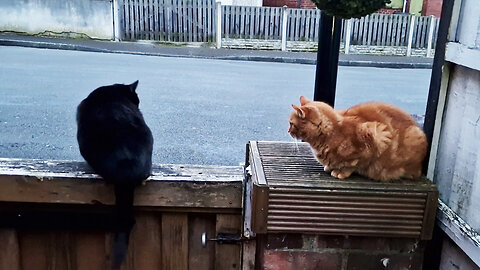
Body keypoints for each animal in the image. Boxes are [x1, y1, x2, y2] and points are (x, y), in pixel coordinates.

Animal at [288, 96, 428, 180]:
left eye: (291, 124)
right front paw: (330, 167)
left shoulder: (377, 136)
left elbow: (353, 164)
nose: (288, 131)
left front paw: (340, 171)